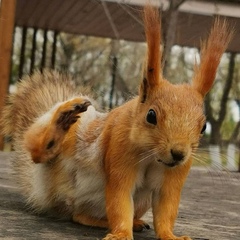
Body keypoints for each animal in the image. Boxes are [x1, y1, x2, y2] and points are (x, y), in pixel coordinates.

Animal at [0, 3, 232, 240]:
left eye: (203, 126)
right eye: (151, 116)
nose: (178, 153)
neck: (152, 155)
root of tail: (54, 198)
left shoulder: (174, 176)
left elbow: (166, 210)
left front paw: (170, 236)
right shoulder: (120, 152)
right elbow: (120, 200)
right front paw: (121, 234)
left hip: (135, 202)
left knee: (80, 216)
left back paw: (129, 222)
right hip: (71, 139)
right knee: (39, 152)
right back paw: (62, 121)